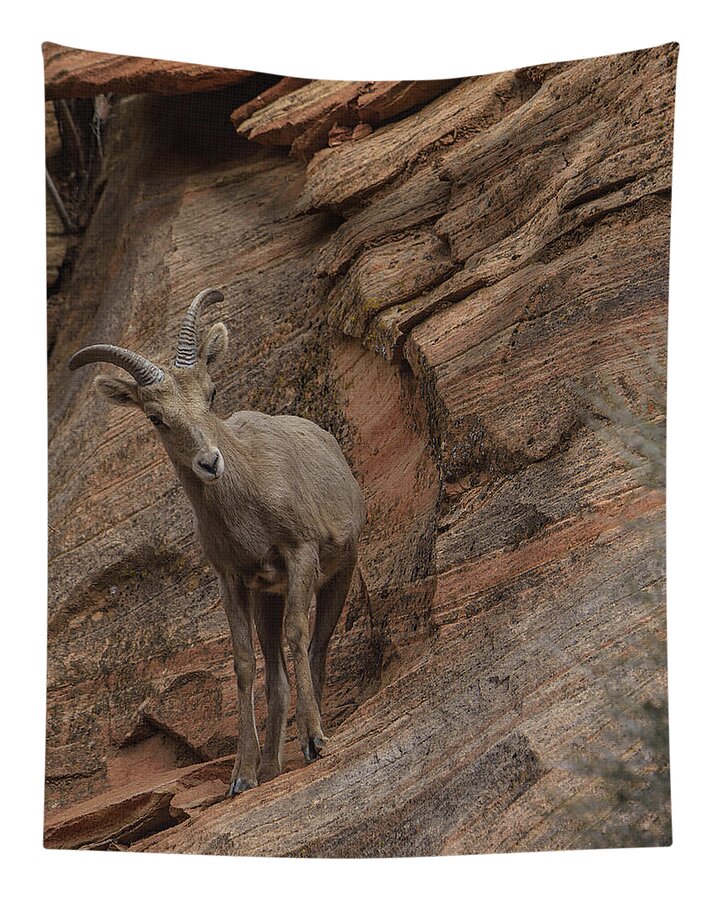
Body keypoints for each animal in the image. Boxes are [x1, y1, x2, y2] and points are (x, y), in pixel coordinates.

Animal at [69, 288, 366, 796]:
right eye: (156, 417)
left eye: (211, 393)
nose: (210, 462)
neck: (248, 506)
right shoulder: (233, 580)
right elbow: (244, 663)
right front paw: (242, 775)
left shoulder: (301, 553)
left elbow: (299, 634)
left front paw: (313, 740)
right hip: (269, 597)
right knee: (276, 670)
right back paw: (271, 767)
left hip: (338, 574)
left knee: (318, 646)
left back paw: (310, 739)